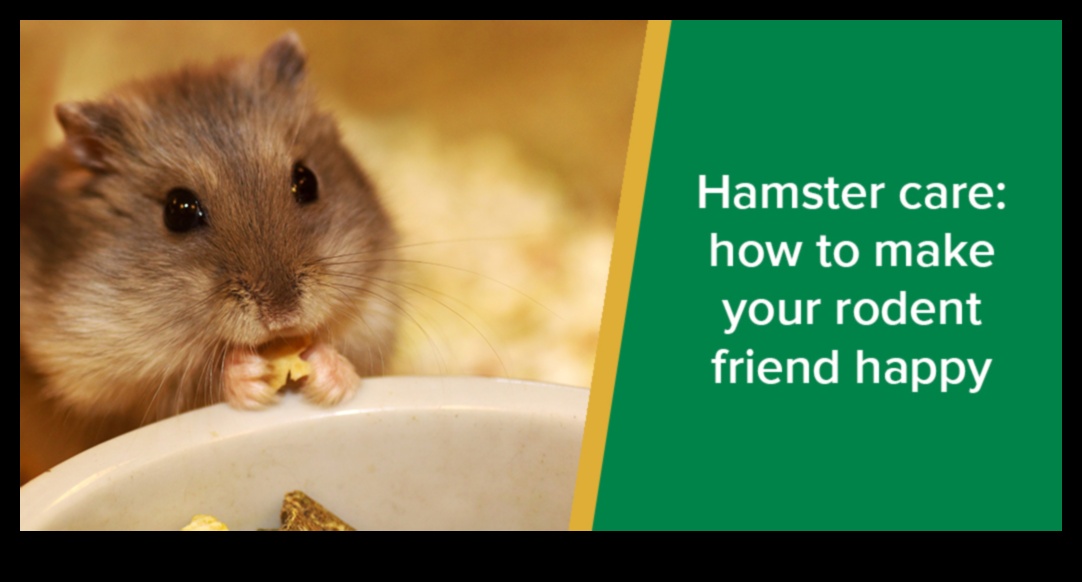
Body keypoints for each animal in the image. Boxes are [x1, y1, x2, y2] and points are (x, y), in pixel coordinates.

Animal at [20, 33, 398, 478]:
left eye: (307, 181)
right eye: (178, 210)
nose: (283, 315)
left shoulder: (377, 309)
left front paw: (328, 374)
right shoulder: (109, 386)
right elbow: (190, 383)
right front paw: (249, 376)